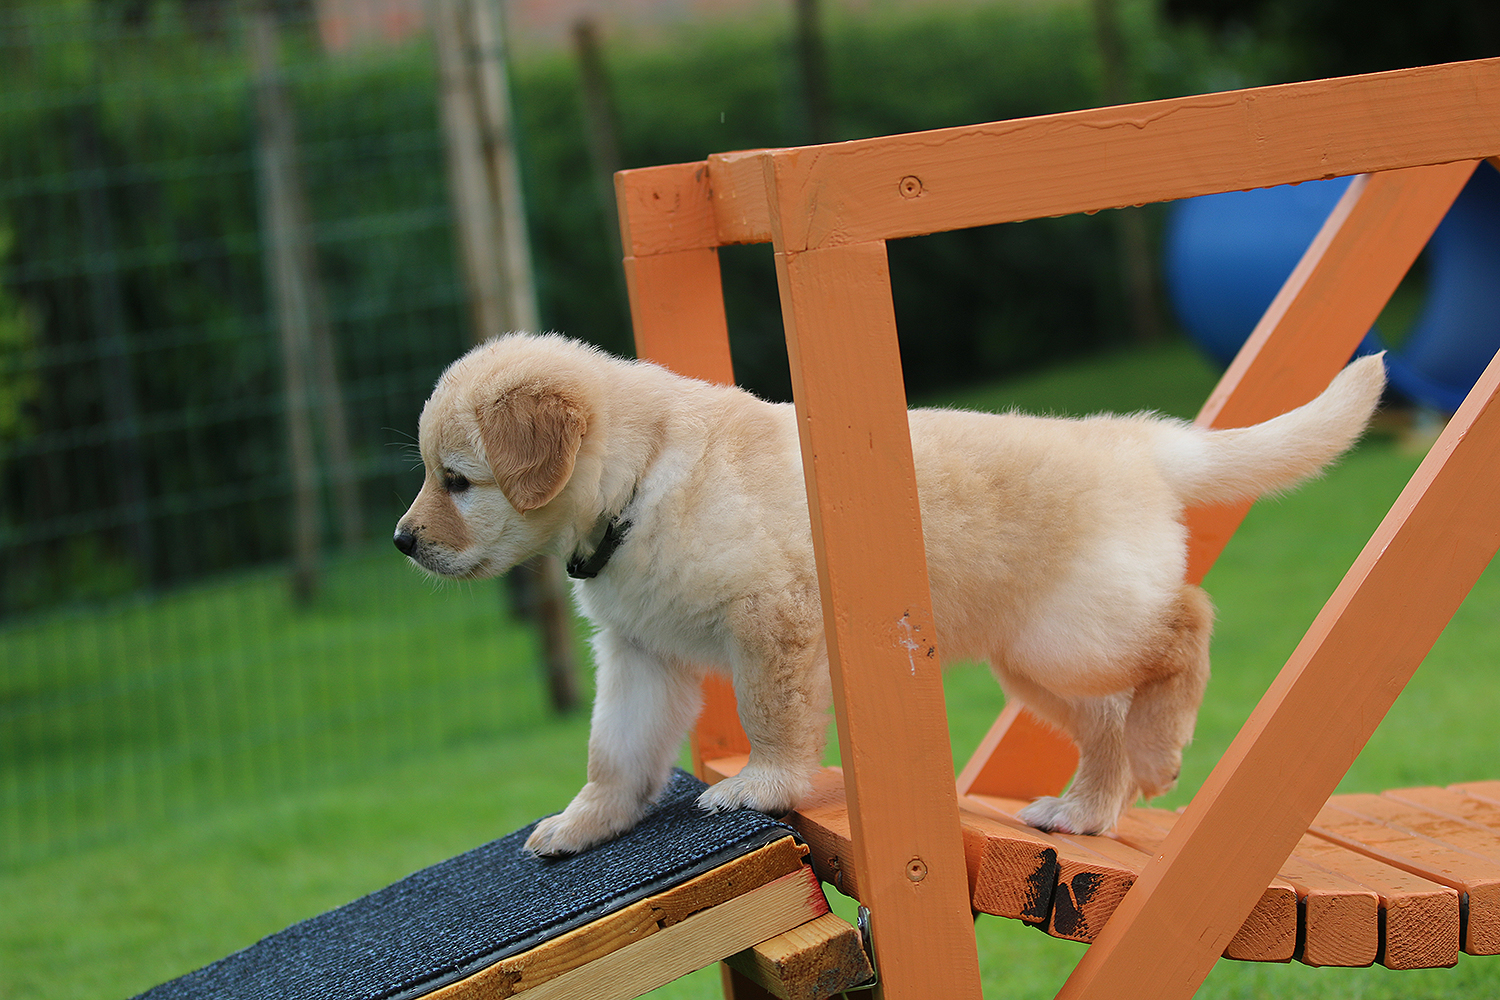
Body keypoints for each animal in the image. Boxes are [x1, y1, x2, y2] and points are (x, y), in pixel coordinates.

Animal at [394, 333, 1385, 855]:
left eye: (458, 481)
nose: (403, 542)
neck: (640, 483)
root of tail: (1133, 441)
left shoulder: (773, 620)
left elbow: (771, 715)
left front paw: (762, 787)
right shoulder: (641, 656)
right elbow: (614, 750)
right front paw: (583, 822)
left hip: (1081, 632)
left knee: (1190, 621)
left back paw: (1160, 749)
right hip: (1040, 659)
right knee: (1107, 718)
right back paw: (1086, 809)